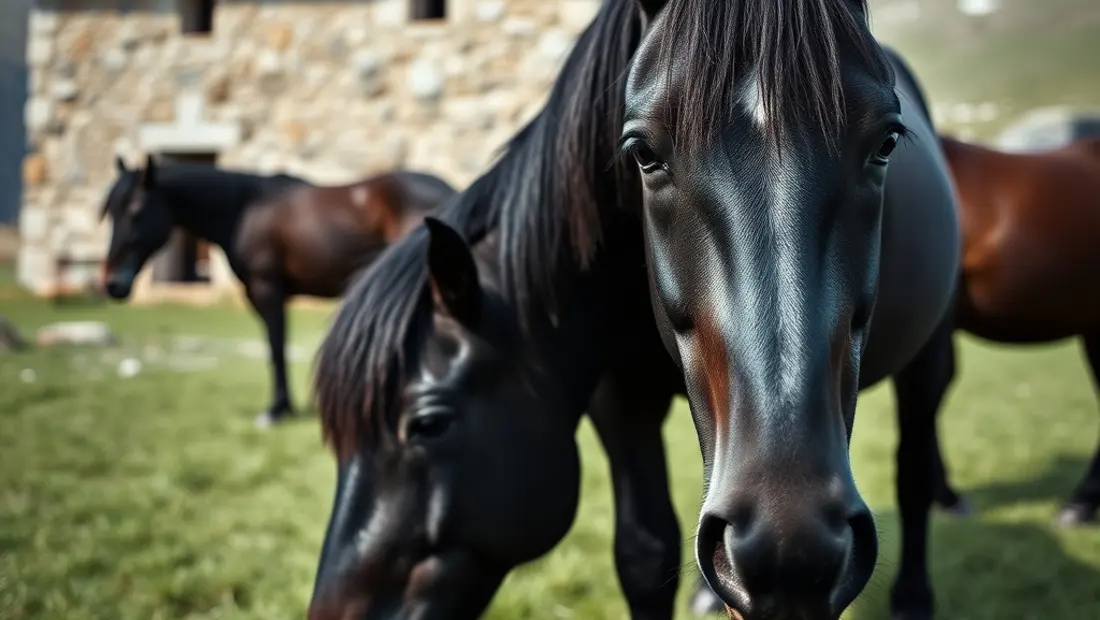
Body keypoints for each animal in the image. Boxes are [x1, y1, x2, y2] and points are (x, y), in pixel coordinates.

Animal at [99, 157, 456, 427]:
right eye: (109, 213)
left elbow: (276, 347)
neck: (244, 209)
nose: (112, 284)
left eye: (134, 212)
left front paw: (276, 410)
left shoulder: (266, 289)